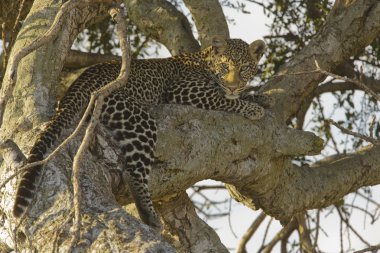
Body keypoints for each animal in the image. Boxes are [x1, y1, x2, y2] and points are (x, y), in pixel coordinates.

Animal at [13, 37, 268, 229]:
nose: (233, 86)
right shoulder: (183, 90)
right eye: (224, 67)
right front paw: (253, 108)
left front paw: (254, 96)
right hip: (137, 118)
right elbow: (223, 99)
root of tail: (80, 83)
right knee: (133, 171)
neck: (203, 61)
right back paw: (150, 216)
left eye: (244, 69)